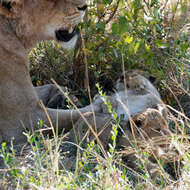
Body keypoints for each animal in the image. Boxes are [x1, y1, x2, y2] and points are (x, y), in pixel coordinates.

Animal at [0, 0, 104, 144]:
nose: (84, 6)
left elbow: (50, 86)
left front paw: (64, 95)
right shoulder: (24, 118)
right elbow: (76, 115)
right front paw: (105, 101)